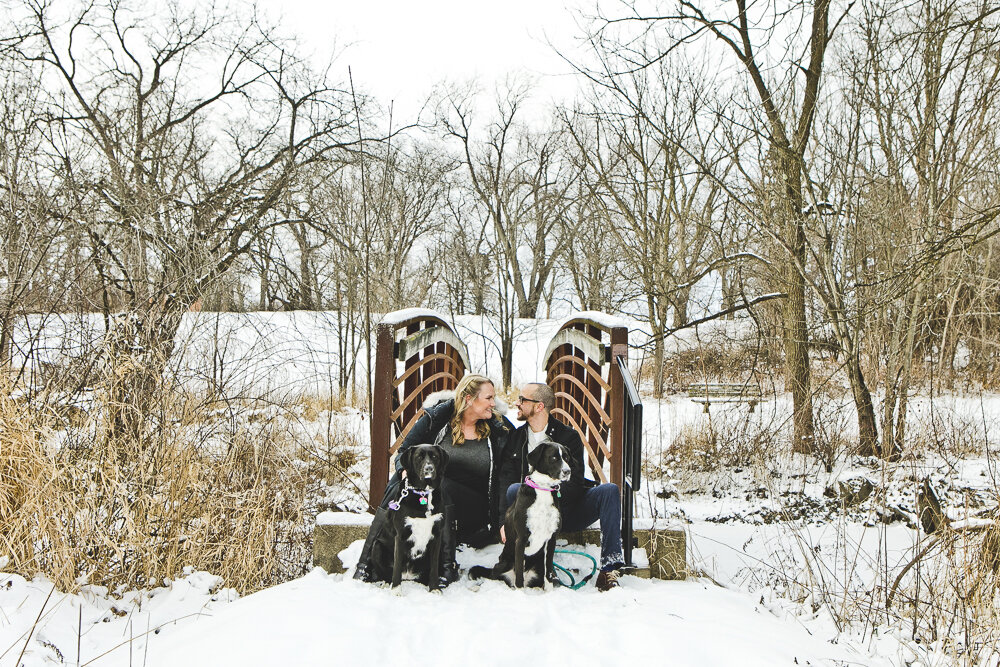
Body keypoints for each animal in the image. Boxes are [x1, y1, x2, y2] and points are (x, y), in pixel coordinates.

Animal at [378, 446, 450, 592]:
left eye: (435, 457)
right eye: (419, 457)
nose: (429, 469)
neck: (424, 493)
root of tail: (408, 576)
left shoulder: (437, 535)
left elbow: (434, 568)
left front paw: (434, 588)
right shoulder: (400, 535)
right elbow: (397, 567)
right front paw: (396, 590)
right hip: (378, 547)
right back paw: (385, 583)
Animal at [468, 444, 572, 588]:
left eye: (566, 458)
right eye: (554, 457)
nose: (568, 471)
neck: (543, 489)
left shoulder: (552, 539)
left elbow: (549, 573)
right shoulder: (521, 539)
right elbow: (519, 577)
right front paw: (520, 592)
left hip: (538, 564)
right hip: (504, 563)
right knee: (494, 577)